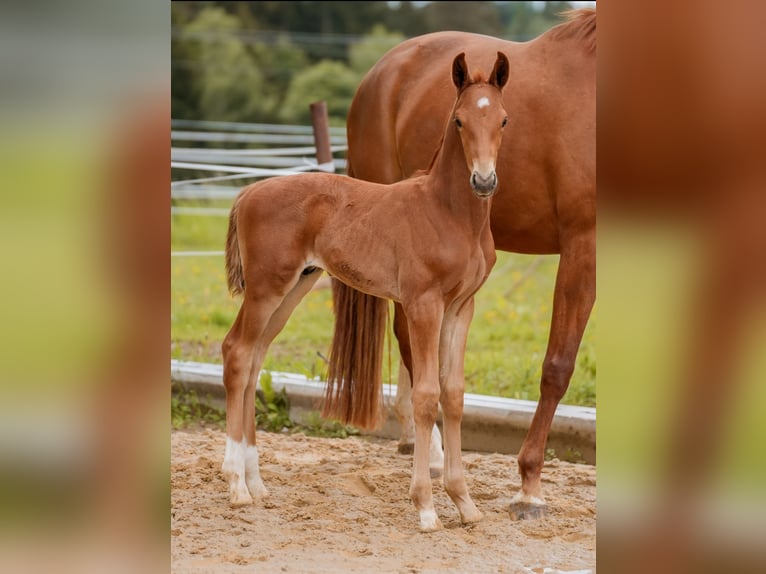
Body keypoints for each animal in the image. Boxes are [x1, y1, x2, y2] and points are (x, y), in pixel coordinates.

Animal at [222, 51, 510, 532]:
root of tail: (247, 192)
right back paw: (237, 486)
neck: (449, 213)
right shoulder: (423, 303)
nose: (484, 181)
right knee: (237, 353)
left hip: (294, 287)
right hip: (266, 288)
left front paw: (465, 504)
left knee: (256, 356)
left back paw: (257, 484)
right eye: (458, 120)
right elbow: (426, 395)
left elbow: (453, 394)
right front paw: (426, 507)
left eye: (503, 119)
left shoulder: (461, 307)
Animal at [330, 7, 600, 520]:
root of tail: (382, 71)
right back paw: (433, 455)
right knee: (411, 344)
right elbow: (558, 365)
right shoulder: (583, 242)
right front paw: (529, 486)